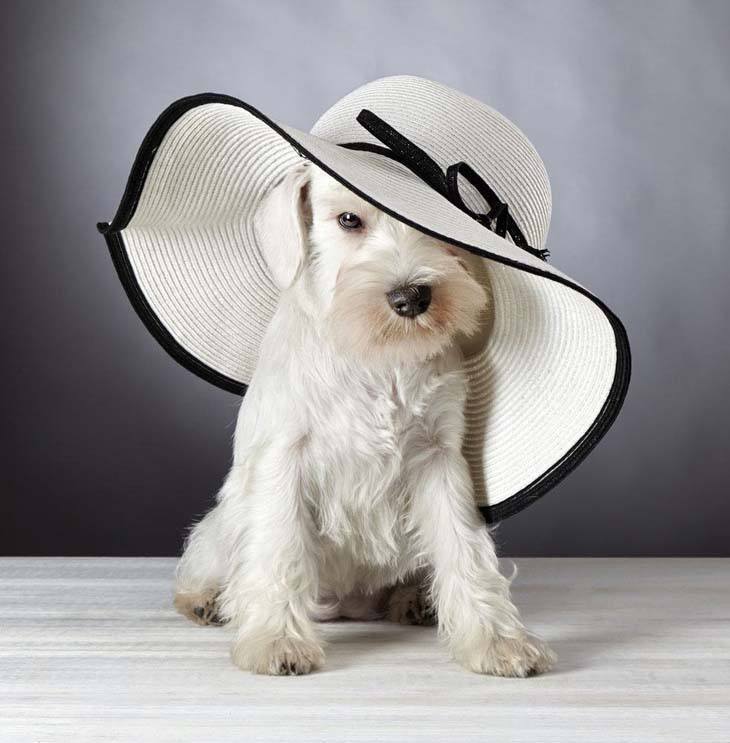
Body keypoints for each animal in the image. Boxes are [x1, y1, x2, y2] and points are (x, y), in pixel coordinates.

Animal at [172, 164, 552, 680]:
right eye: (349, 219)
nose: (411, 297)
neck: (379, 355)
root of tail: (348, 605)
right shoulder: (285, 458)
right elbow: (280, 549)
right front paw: (277, 641)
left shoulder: (439, 459)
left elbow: (465, 550)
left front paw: (496, 640)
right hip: (222, 525)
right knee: (208, 562)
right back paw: (207, 600)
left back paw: (414, 600)